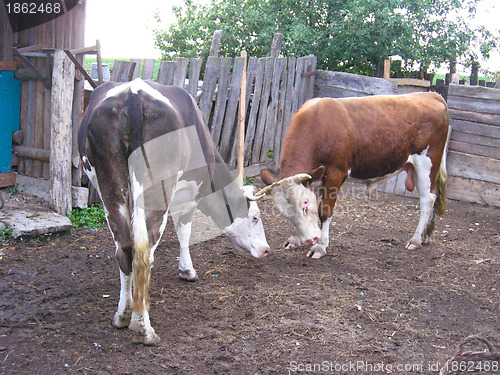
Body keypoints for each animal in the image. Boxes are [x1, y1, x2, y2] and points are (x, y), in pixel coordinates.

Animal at [79, 78, 270, 346]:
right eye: (255, 217)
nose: (266, 249)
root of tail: (134, 94)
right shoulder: (190, 196)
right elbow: (184, 232)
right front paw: (187, 271)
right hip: (156, 190)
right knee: (144, 251)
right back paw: (143, 328)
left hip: (109, 188)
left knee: (125, 249)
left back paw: (122, 316)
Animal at [258, 92, 450, 260]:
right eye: (284, 212)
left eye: (305, 203)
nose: (309, 240)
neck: (320, 126)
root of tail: (431, 95)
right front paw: (295, 239)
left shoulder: (336, 173)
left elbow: (324, 211)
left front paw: (320, 246)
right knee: (433, 195)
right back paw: (426, 236)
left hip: (427, 162)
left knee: (427, 199)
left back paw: (416, 239)